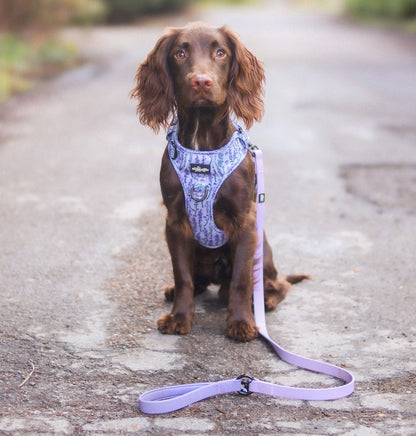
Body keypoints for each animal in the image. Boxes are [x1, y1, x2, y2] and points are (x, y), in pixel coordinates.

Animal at [132, 23, 308, 340]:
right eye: (179, 53)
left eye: (220, 52)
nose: (201, 82)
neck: (202, 147)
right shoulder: (175, 221)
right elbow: (183, 275)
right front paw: (179, 316)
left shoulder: (245, 222)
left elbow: (241, 279)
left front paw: (241, 322)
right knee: (198, 281)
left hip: (263, 249)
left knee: (276, 284)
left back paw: (266, 300)